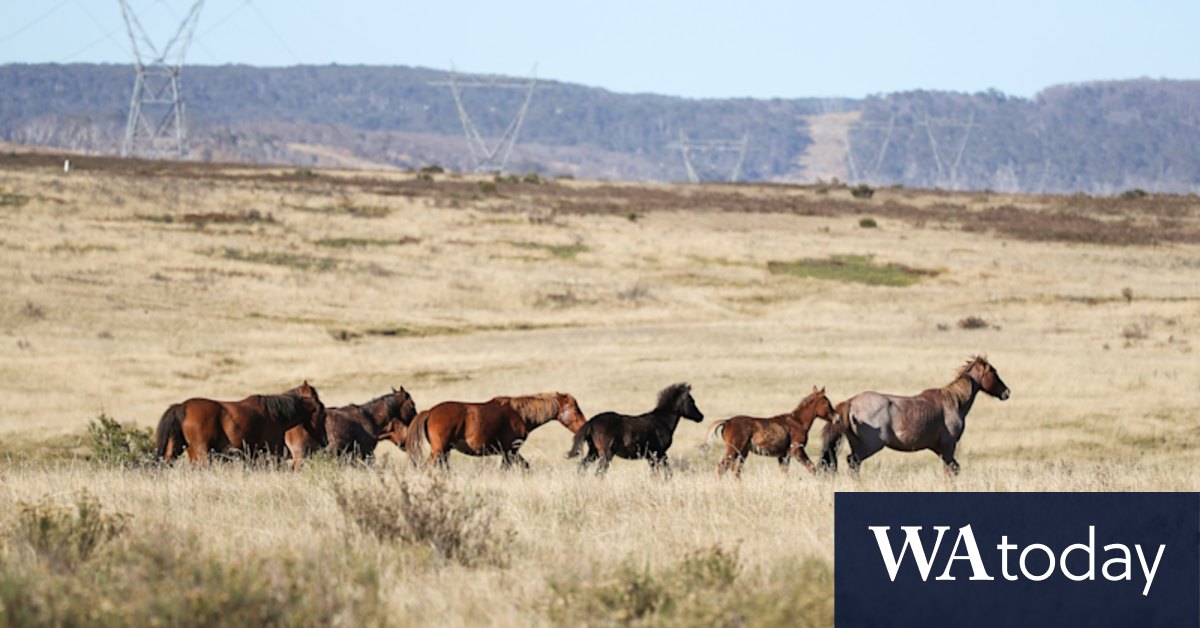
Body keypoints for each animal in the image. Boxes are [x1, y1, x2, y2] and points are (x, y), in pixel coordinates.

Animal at [153, 381, 328, 471]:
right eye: (322, 410)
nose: (325, 441)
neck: (274, 414)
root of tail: (182, 406)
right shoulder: (273, 451)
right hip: (202, 454)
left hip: (175, 450)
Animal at [404, 392, 587, 469]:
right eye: (576, 409)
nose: (585, 425)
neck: (519, 414)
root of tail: (430, 412)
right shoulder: (510, 451)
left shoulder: (510, 452)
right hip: (439, 451)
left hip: (444, 452)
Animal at [567, 382, 704, 478]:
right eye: (692, 401)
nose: (701, 417)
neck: (662, 421)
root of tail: (592, 421)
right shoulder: (660, 452)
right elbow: (667, 472)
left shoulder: (651, 456)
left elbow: (655, 473)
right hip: (606, 454)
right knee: (599, 472)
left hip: (594, 452)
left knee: (582, 466)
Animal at [700, 386, 836, 477]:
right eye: (827, 403)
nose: (837, 417)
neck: (798, 421)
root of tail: (727, 421)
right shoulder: (797, 450)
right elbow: (812, 468)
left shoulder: (783, 455)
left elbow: (784, 474)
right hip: (733, 450)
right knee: (721, 468)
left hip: (742, 453)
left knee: (735, 471)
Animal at [820, 356, 1010, 475]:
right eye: (993, 372)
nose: (1006, 392)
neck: (952, 402)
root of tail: (851, 402)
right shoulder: (948, 446)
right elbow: (950, 470)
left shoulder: (939, 449)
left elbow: (954, 468)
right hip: (869, 447)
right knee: (853, 462)